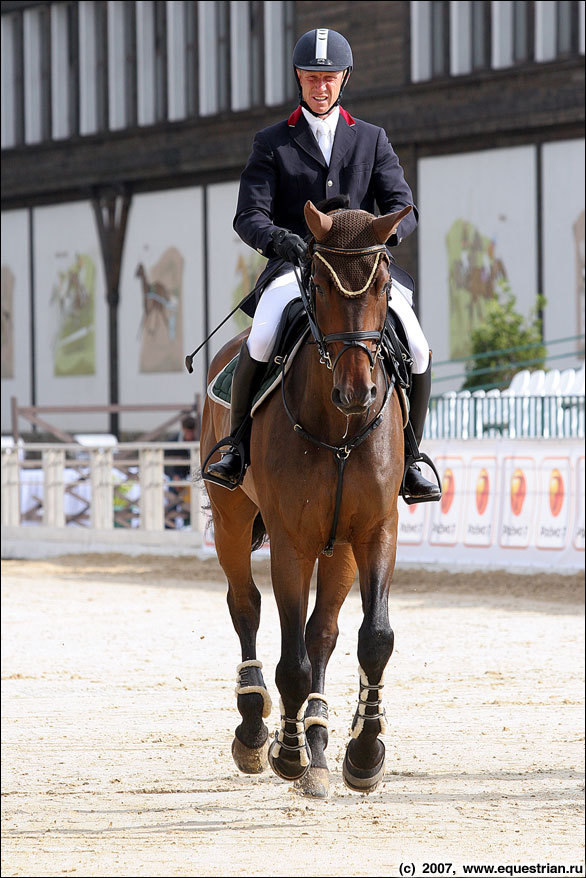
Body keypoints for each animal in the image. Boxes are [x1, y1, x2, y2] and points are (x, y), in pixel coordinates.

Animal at [201, 201, 410, 796]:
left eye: (384, 283)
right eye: (316, 279)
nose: (357, 391)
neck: (340, 426)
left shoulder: (375, 530)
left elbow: (373, 638)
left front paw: (363, 753)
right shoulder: (291, 540)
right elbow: (288, 658)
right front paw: (287, 753)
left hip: (337, 544)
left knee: (323, 631)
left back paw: (318, 738)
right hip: (231, 519)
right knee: (245, 607)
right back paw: (255, 730)